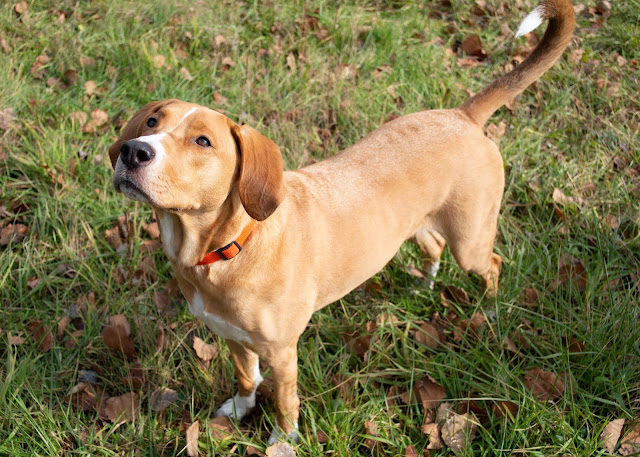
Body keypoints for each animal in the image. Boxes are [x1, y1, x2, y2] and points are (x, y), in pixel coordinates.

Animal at [109, 0, 576, 442]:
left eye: (203, 141)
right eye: (152, 121)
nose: (134, 150)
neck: (228, 248)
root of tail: (462, 115)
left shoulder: (282, 352)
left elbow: (284, 400)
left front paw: (283, 438)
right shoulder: (233, 336)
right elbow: (246, 377)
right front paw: (241, 408)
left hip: (471, 241)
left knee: (491, 265)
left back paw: (491, 310)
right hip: (418, 227)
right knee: (433, 246)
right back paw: (424, 287)